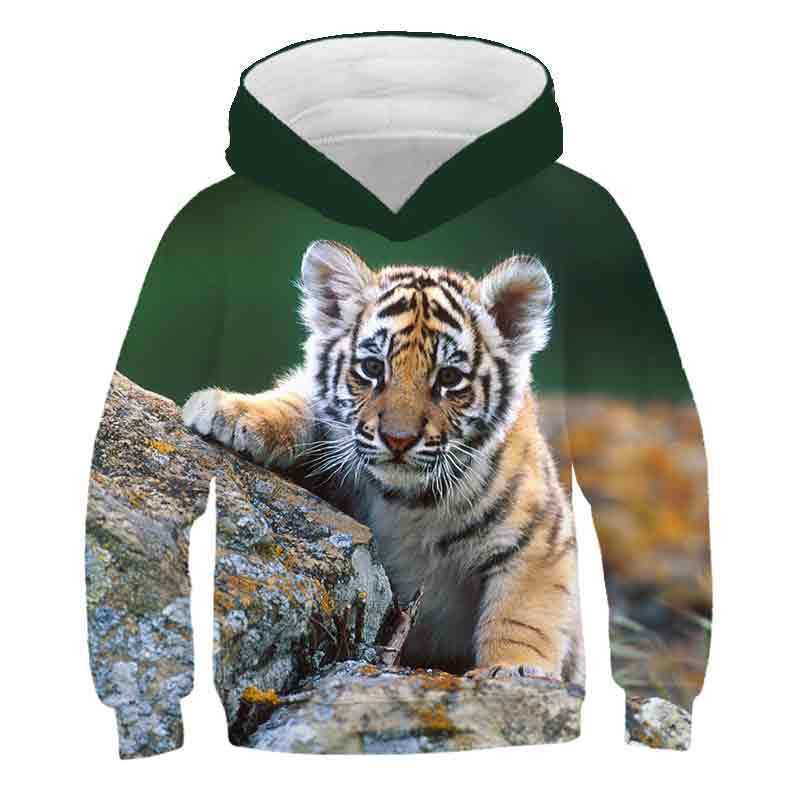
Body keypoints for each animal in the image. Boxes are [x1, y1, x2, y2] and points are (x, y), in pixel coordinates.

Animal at [183, 240, 583, 683]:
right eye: (373, 368)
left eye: (449, 378)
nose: (398, 439)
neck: (408, 502)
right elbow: (300, 400)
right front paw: (230, 411)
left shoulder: (540, 540)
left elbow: (523, 616)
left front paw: (512, 671)